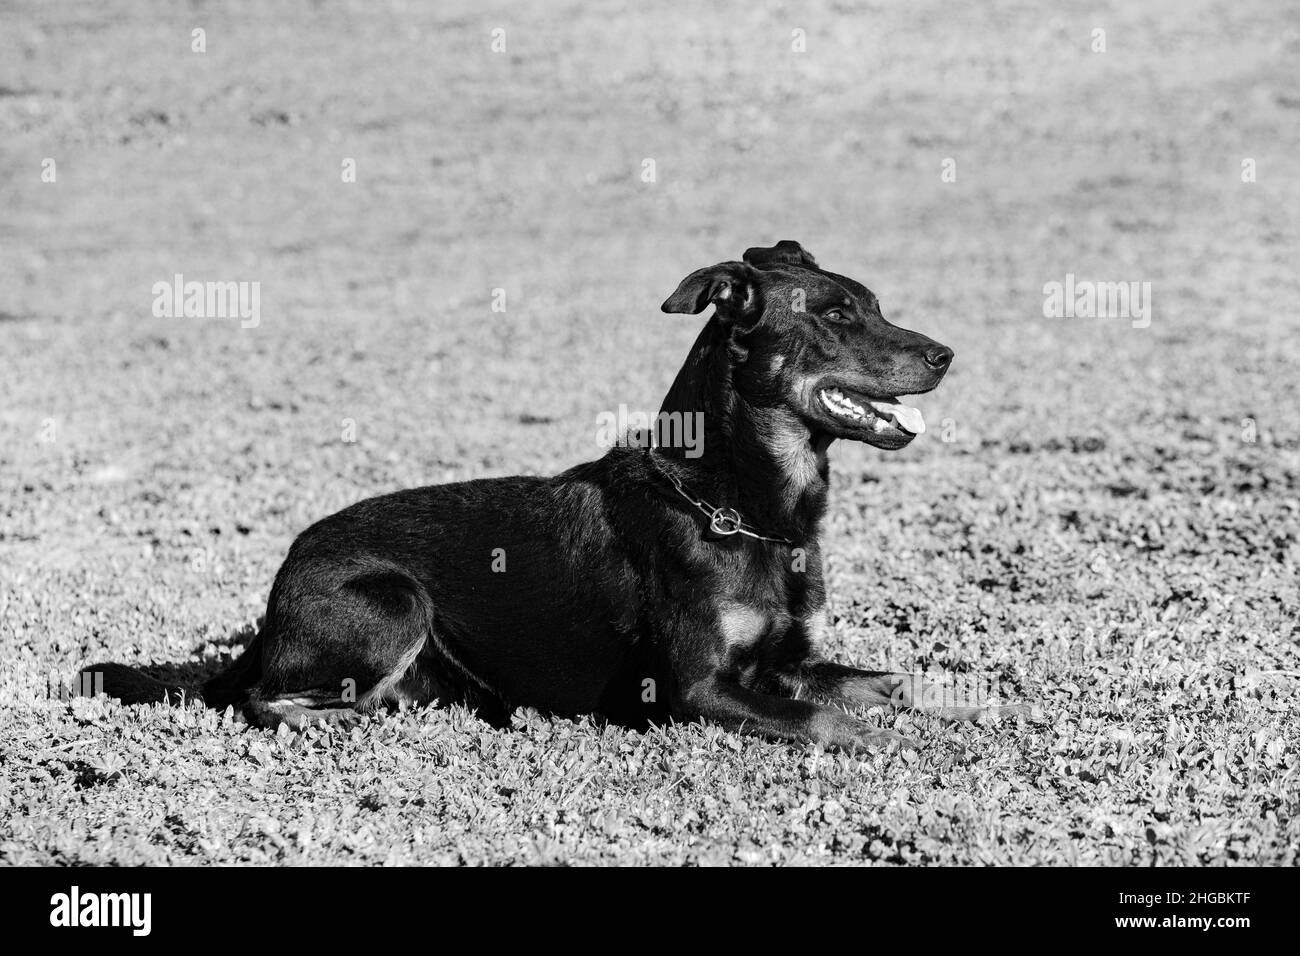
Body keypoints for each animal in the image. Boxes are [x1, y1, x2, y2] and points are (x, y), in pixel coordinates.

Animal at [89, 239, 1024, 749]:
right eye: (833, 315)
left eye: (875, 304)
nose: (945, 354)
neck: (743, 508)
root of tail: (279, 586)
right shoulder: (699, 692)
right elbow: (835, 722)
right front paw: (894, 745)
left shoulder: (787, 663)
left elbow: (895, 681)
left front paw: (967, 703)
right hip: (391, 600)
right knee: (257, 700)